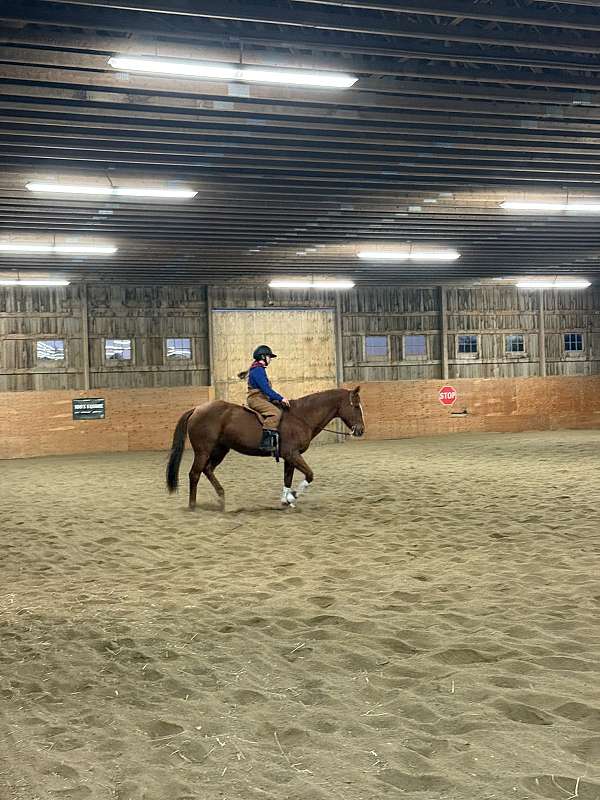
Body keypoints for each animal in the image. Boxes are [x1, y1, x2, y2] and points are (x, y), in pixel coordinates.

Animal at [166, 386, 365, 510]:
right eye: (356, 406)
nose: (361, 430)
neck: (301, 416)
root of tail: (197, 409)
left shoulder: (290, 457)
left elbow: (287, 478)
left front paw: (286, 500)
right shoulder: (292, 454)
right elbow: (309, 475)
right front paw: (292, 496)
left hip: (220, 450)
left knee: (207, 470)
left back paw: (221, 499)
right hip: (203, 451)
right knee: (195, 474)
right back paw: (193, 506)